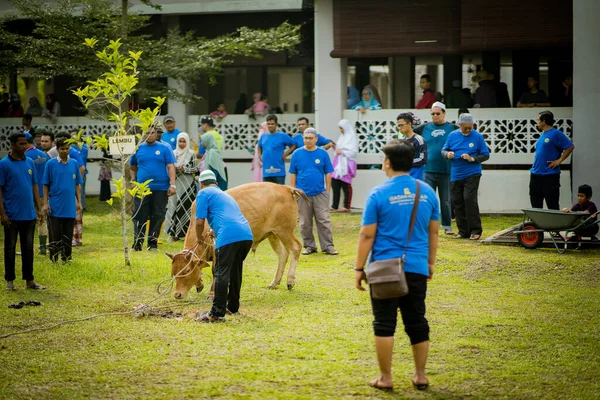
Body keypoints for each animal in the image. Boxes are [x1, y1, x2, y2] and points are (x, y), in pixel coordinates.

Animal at [169, 183, 310, 298]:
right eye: (174, 273)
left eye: (187, 271)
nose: (177, 294)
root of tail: (286, 188)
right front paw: (199, 284)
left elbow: (215, 270)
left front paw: (212, 293)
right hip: (273, 234)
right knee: (283, 254)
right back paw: (274, 282)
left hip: (285, 231)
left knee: (295, 248)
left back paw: (290, 281)